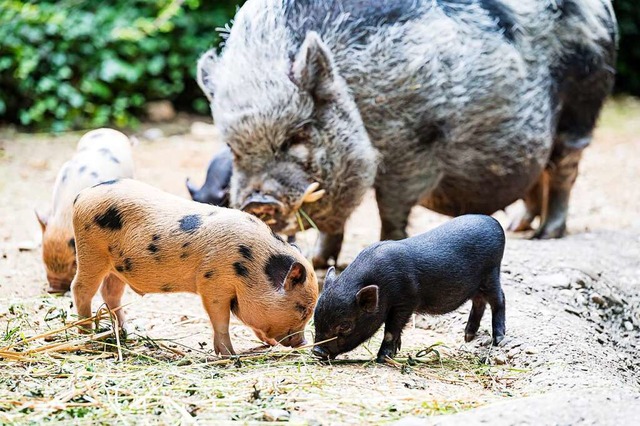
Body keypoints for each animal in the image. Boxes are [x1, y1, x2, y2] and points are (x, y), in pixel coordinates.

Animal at [70, 178, 320, 354]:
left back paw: (125, 332)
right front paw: (230, 355)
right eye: (303, 309)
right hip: (90, 253)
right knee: (81, 288)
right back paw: (86, 332)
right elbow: (221, 321)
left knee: (111, 293)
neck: (253, 264)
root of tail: (81, 195)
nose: (303, 342)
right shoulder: (212, 283)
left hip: (117, 267)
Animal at [198, 0, 616, 266]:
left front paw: (388, 245)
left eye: (297, 135)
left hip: (582, 101)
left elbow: (391, 208)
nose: (258, 201)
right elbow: (335, 224)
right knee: (537, 174)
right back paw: (519, 229)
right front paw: (315, 261)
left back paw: (547, 235)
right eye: (234, 148)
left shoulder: (414, 145)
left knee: (564, 170)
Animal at [312, 215, 504, 362]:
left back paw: (499, 340)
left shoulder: (406, 301)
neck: (382, 284)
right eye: (316, 318)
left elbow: (391, 329)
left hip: (491, 274)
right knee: (479, 302)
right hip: (477, 286)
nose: (316, 351)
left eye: (345, 325)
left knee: (499, 300)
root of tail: (495, 223)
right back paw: (468, 337)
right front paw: (396, 350)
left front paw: (382, 358)